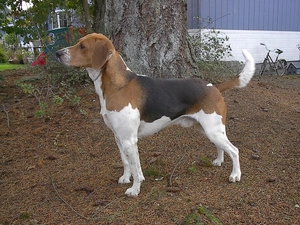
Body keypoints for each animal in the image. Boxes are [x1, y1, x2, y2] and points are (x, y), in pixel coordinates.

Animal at [55, 32, 254, 196]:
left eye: (82, 46)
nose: (57, 53)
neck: (118, 85)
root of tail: (214, 86)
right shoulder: (119, 137)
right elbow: (126, 162)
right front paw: (126, 178)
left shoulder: (129, 140)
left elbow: (136, 168)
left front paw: (135, 189)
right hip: (207, 130)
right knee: (222, 147)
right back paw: (218, 161)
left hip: (213, 129)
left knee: (234, 150)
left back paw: (235, 175)